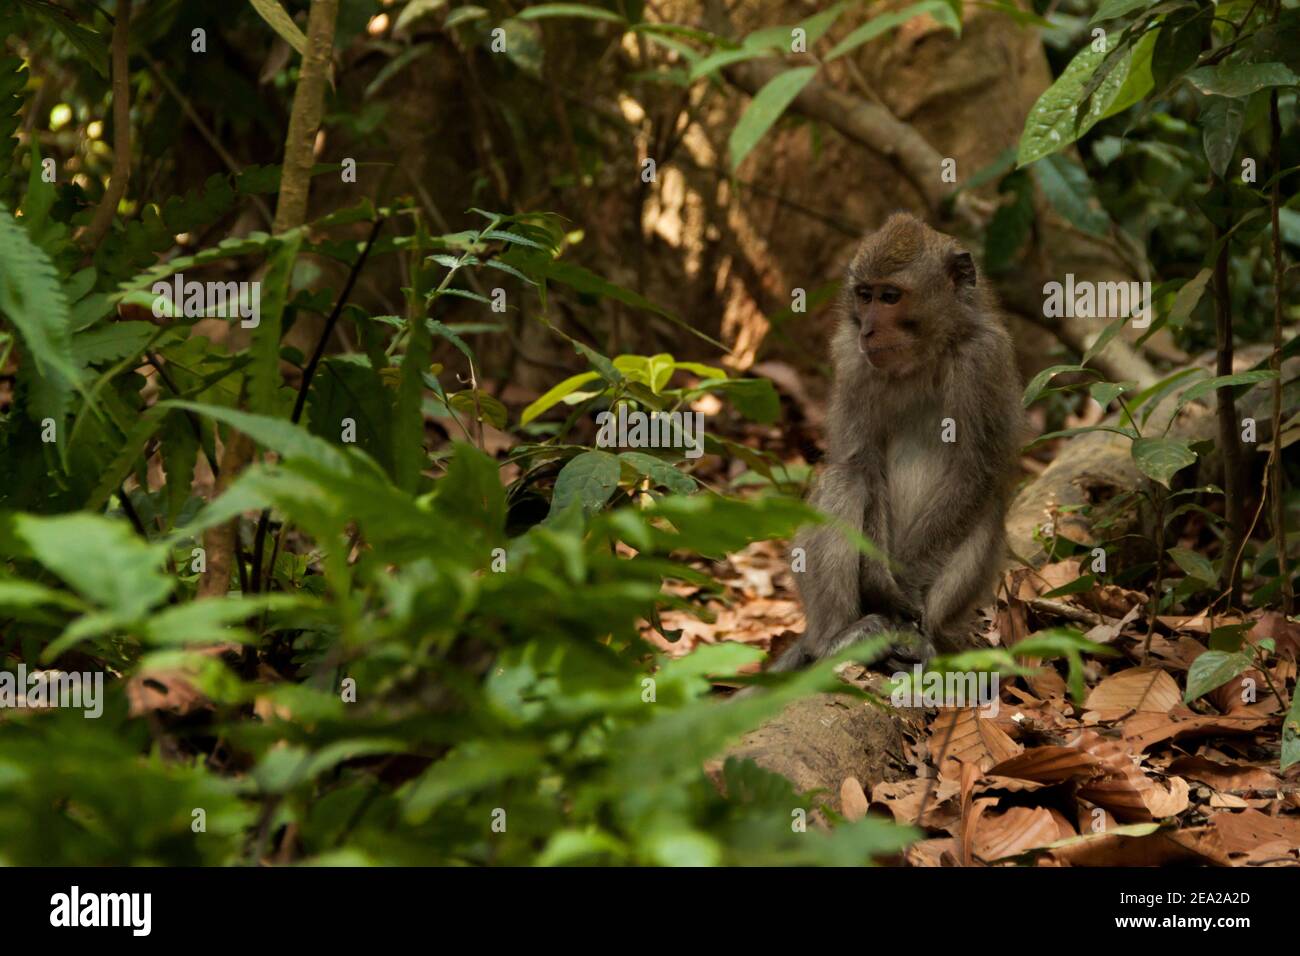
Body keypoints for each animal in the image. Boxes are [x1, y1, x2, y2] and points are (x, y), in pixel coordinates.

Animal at [770, 212, 1022, 673]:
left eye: (890, 297)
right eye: (864, 295)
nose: (869, 329)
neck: (924, 357)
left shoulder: (985, 359)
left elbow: (975, 471)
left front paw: (904, 584)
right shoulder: (851, 358)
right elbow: (864, 463)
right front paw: (880, 582)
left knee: (987, 509)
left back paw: (927, 641)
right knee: (845, 479)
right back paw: (835, 639)